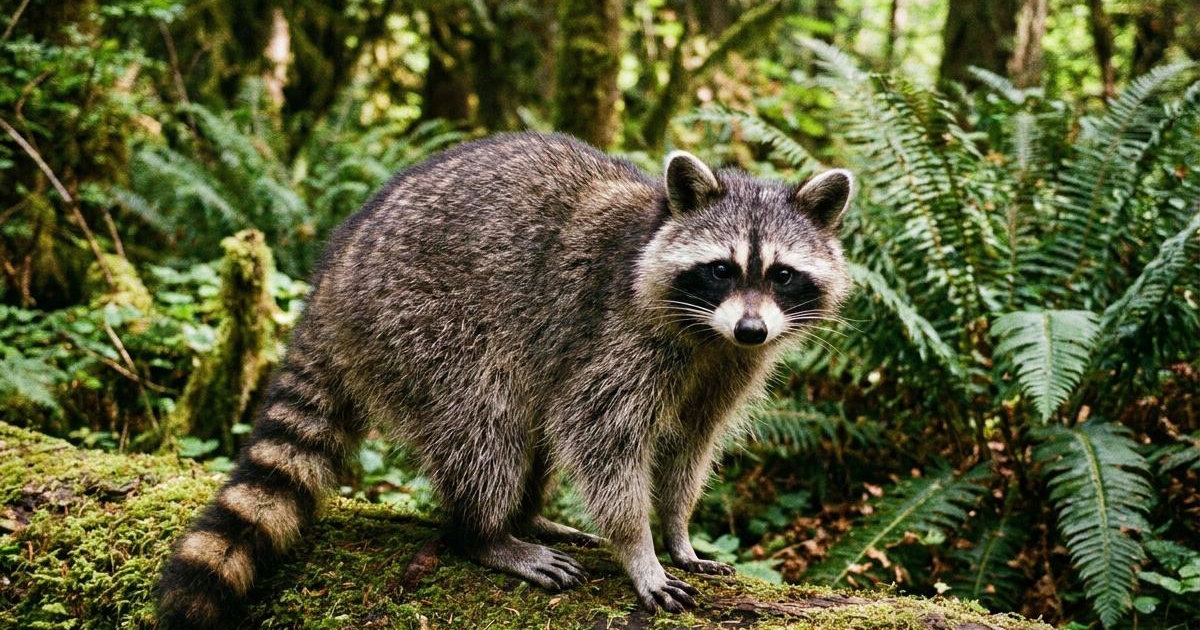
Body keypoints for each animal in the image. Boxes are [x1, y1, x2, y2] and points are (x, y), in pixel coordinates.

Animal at [157, 132, 854, 628]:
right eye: (721, 269)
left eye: (782, 275)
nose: (752, 329)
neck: (709, 333)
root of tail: (332, 277)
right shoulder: (618, 334)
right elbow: (600, 438)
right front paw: (638, 549)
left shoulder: (728, 366)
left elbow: (689, 445)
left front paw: (678, 530)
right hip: (420, 324)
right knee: (484, 422)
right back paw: (488, 532)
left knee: (529, 425)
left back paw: (528, 516)